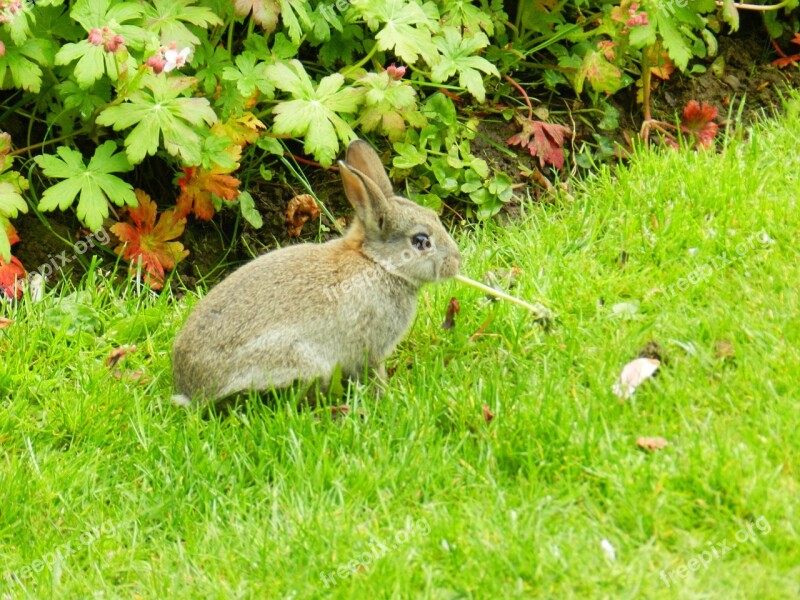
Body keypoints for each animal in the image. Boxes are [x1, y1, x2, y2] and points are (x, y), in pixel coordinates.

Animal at [173, 138, 462, 406]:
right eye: (421, 241)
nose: (456, 263)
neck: (377, 262)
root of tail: (191, 392)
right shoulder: (370, 348)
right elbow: (373, 373)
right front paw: (385, 398)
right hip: (300, 360)